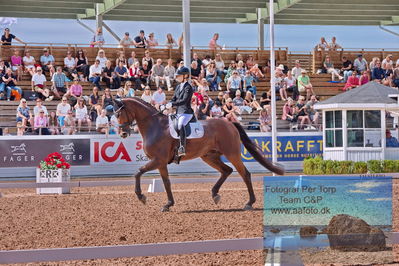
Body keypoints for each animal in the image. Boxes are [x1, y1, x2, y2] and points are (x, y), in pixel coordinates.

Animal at [114, 97, 286, 212]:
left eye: (119, 114)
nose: (123, 133)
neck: (154, 126)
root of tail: (229, 123)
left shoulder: (158, 160)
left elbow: (138, 172)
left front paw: (141, 197)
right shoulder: (161, 163)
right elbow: (166, 182)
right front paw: (168, 204)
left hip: (232, 154)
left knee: (245, 174)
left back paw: (249, 203)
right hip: (209, 156)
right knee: (227, 170)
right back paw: (215, 194)